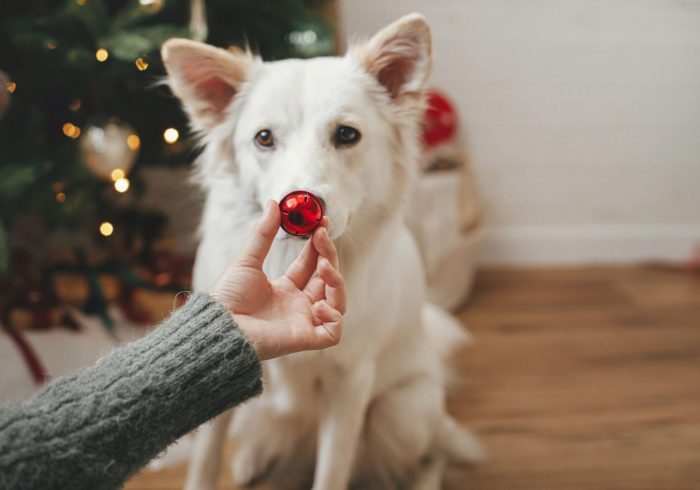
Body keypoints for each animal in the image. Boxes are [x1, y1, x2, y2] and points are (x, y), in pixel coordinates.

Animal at [163, 13, 482, 488]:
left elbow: (331, 470)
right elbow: (204, 460)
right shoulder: (221, 375)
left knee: (431, 456)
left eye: (347, 134)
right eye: (263, 138)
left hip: (399, 413)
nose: (300, 204)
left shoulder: (351, 383)